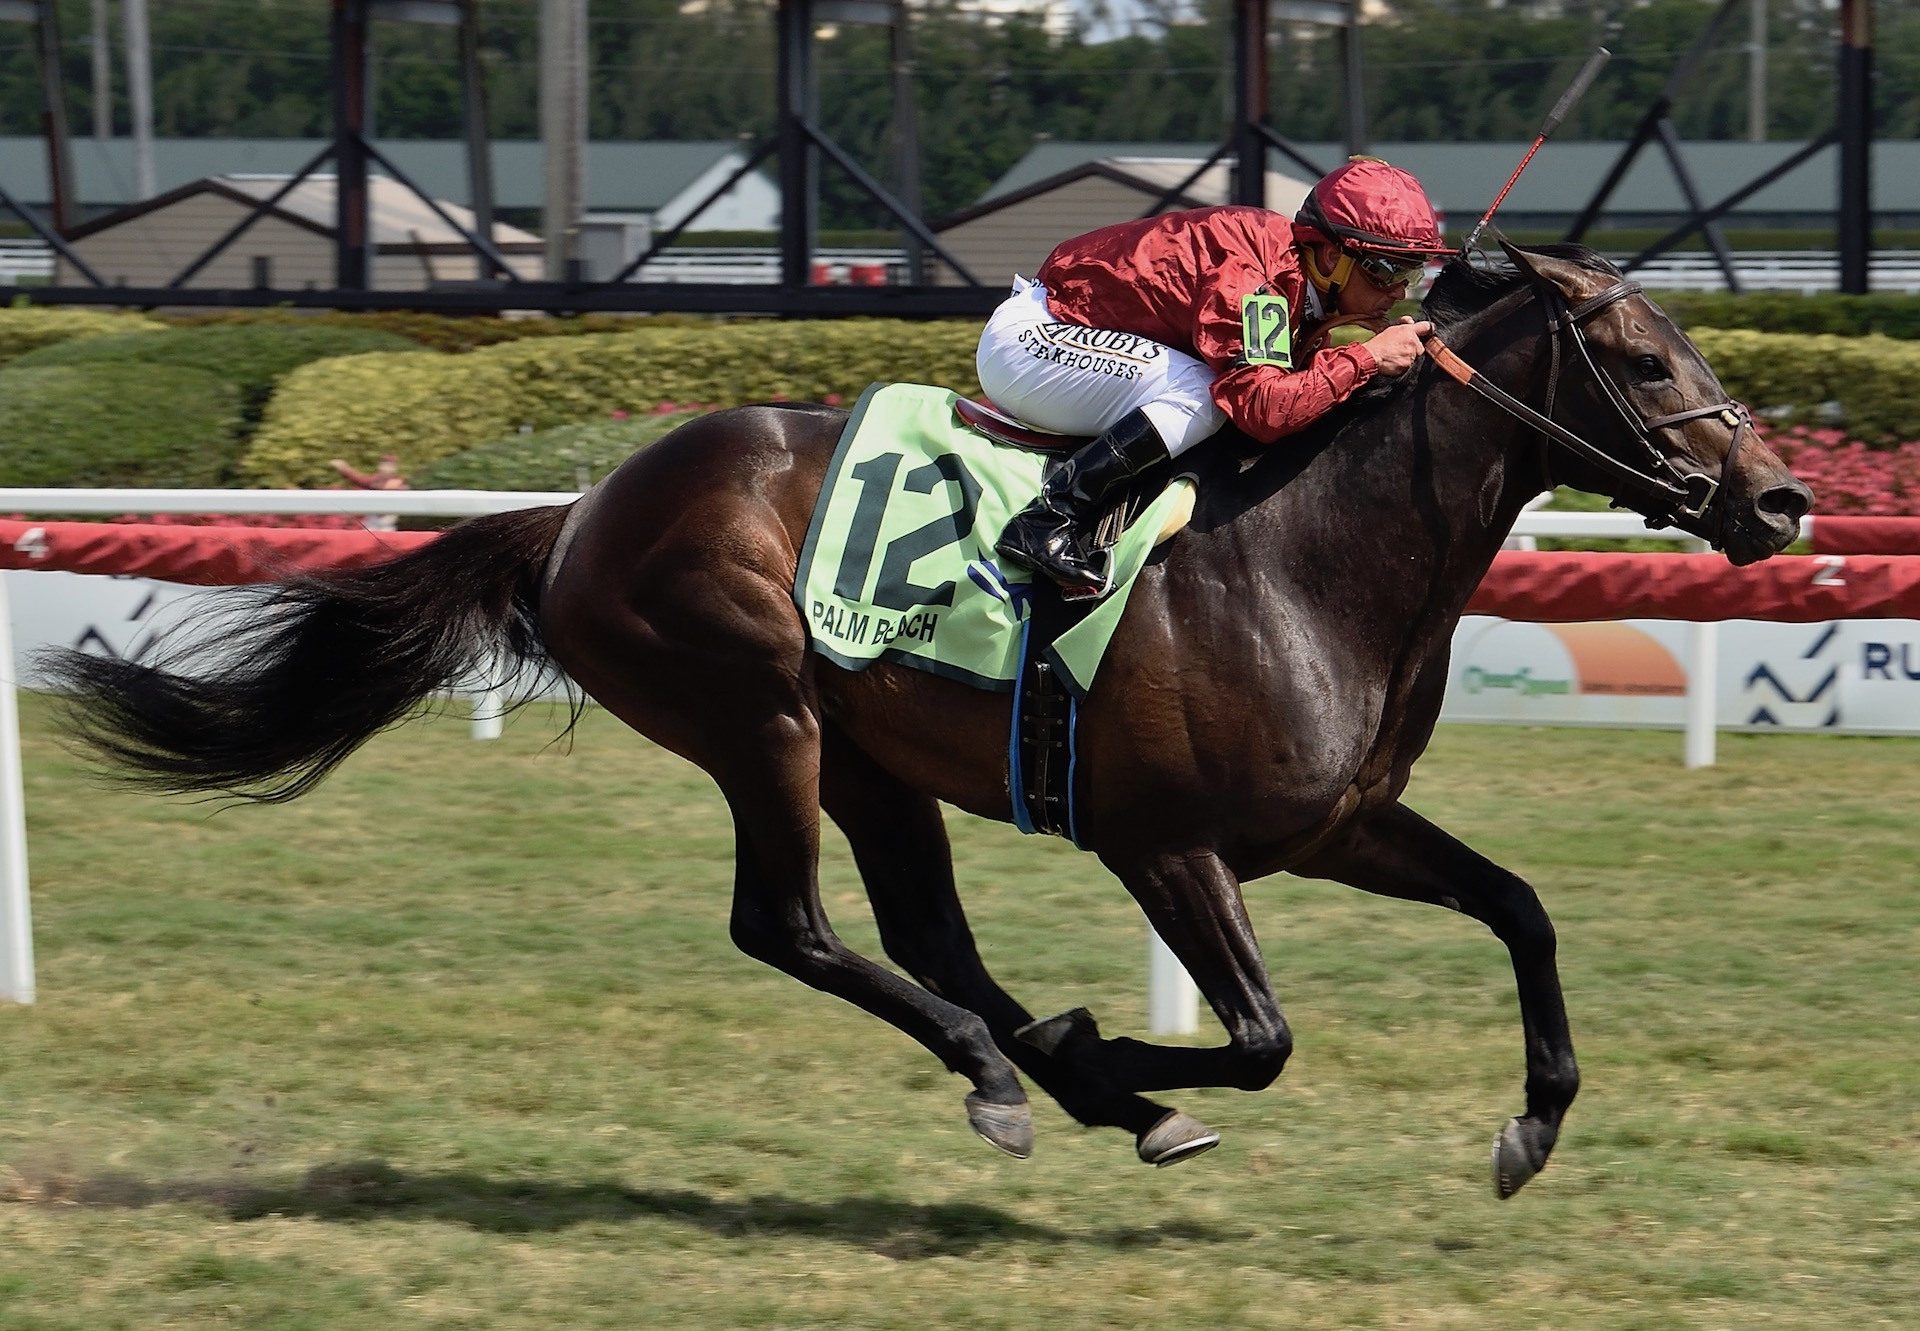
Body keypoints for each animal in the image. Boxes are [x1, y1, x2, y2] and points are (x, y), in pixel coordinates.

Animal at [45, 241, 1812, 1206]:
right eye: (1641, 353)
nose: (1784, 499)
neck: (1311, 550)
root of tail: (583, 505)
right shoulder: (1163, 841)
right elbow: (1260, 1035)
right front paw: (1105, 1041)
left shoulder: (1332, 825)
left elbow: (1520, 905)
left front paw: (1533, 1121)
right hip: (759, 713)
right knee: (791, 925)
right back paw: (1024, 1070)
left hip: (874, 758)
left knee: (919, 935)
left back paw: (1060, 1079)